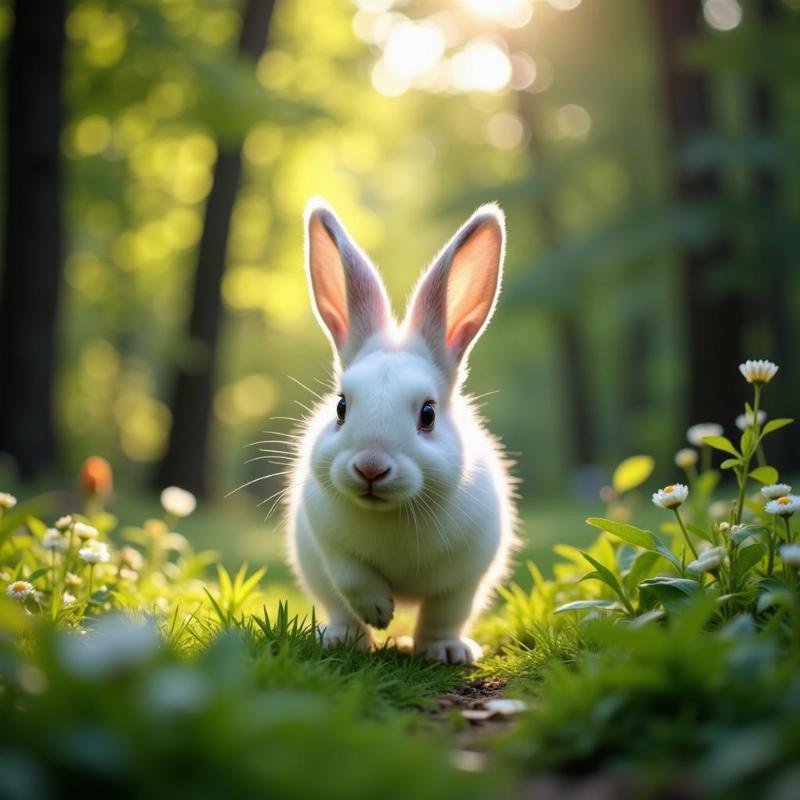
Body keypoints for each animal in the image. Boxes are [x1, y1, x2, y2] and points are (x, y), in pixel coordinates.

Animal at [284, 197, 516, 664]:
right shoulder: (328, 543)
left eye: (428, 414)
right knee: (340, 608)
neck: (391, 514)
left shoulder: (463, 576)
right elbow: (352, 579)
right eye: (341, 407)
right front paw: (379, 612)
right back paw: (342, 640)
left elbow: (444, 613)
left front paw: (445, 651)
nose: (370, 468)